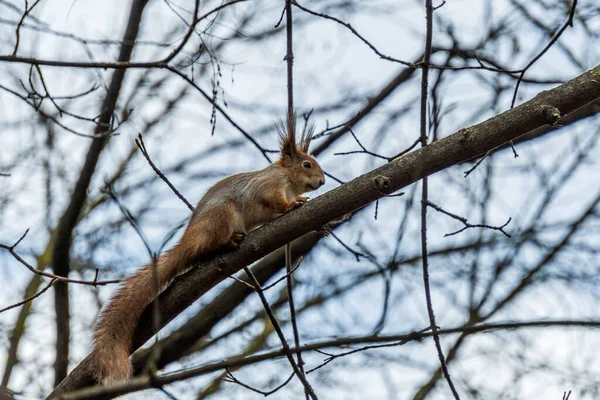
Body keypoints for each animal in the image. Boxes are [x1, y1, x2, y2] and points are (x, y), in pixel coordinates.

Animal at [88, 116, 324, 384]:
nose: (322, 181)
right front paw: (292, 204)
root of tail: (191, 240)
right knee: (212, 243)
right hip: (222, 216)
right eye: (307, 164)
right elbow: (273, 201)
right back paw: (229, 241)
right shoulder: (266, 186)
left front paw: (299, 199)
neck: (287, 179)